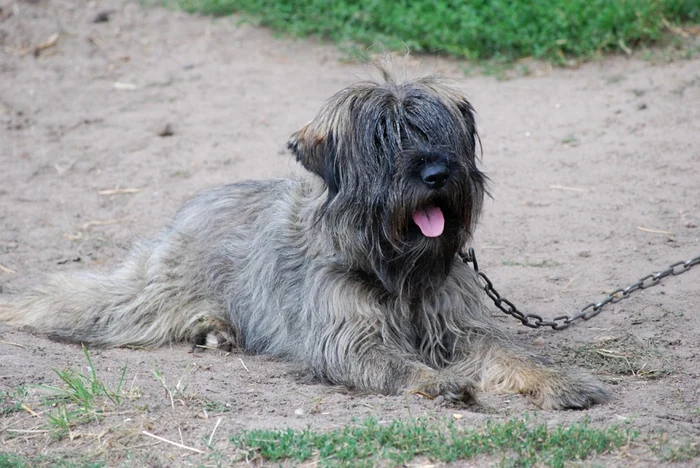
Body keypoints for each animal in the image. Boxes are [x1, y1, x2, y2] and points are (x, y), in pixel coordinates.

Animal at [0, 73, 608, 410]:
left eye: (441, 132)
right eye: (384, 139)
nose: (438, 172)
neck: (396, 270)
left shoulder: (460, 330)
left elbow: (509, 352)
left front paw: (558, 381)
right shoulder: (348, 341)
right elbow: (398, 364)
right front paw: (436, 382)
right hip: (143, 296)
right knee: (82, 301)